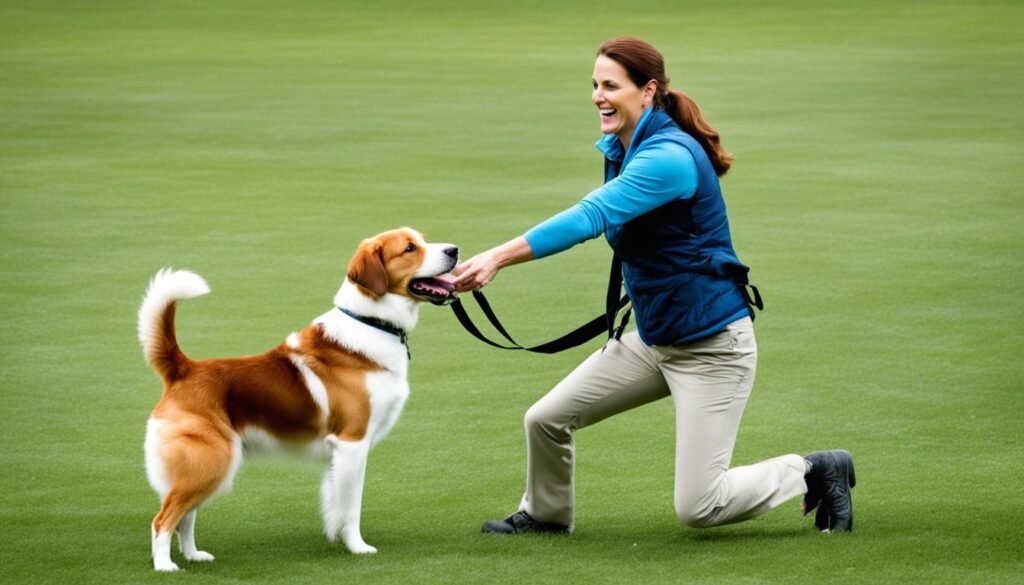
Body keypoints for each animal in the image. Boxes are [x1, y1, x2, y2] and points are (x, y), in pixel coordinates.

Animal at [138, 227, 458, 573]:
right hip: (211, 462)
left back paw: (193, 555)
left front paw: (339, 539)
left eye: (423, 239)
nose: (455, 250)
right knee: (164, 519)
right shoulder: (352, 444)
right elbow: (352, 507)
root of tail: (184, 369)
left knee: (185, 517)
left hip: (204, 468)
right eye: (410, 248)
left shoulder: (340, 454)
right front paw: (357, 547)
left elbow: (335, 503)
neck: (371, 322)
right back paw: (165, 566)